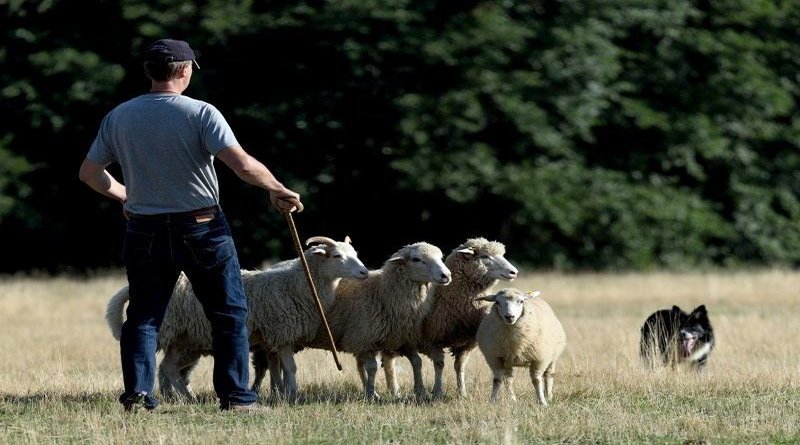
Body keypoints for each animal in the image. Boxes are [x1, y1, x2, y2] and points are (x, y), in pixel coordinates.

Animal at [106, 234, 368, 400]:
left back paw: (186, 397)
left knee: (169, 367)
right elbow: (291, 368)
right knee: (160, 365)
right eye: (336, 256)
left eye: (355, 252)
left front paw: (282, 393)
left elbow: (278, 369)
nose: (364, 272)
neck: (297, 284)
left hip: (185, 339)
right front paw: (293, 395)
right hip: (171, 332)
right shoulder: (282, 333)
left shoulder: (272, 339)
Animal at [310, 241, 454, 400]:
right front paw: (372, 393)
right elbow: (373, 368)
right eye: (416, 259)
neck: (383, 292)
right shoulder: (365, 341)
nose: (446, 275)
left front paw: (420, 391)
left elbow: (417, 362)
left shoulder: (403, 339)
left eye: (440, 257)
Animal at [412, 238, 520, 398]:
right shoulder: (433, 340)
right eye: (484, 256)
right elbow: (439, 365)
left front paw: (462, 392)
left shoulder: (466, 344)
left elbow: (460, 366)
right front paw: (437, 392)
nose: (514, 272)